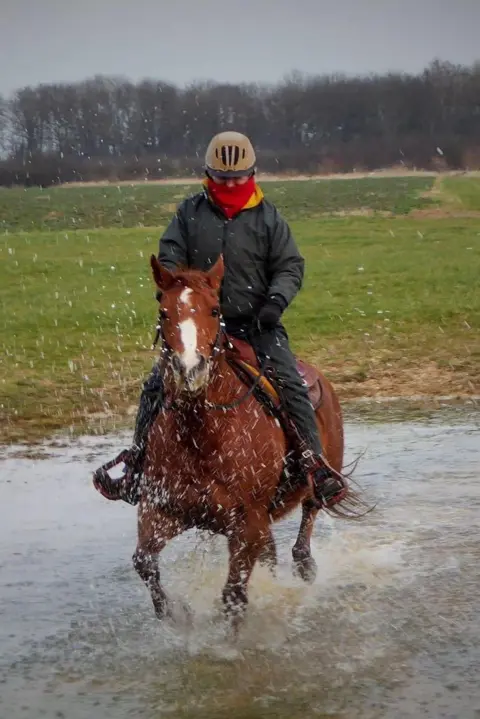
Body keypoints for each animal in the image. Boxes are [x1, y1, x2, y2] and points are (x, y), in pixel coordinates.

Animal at [113, 256, 356, 628]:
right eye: (164, 311)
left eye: (215, 310)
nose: (190, 370)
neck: (202, 436)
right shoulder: (161, 510)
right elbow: (144, 562)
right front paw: (176, 614)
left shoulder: (247, 525)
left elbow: (233, 597)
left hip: (319, 479)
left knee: (307, 524)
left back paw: (306, 565)